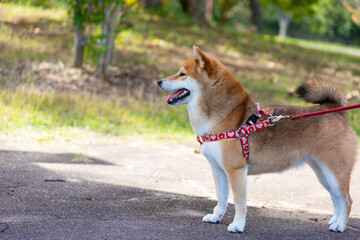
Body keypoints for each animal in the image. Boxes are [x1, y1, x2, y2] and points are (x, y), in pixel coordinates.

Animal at [158, 45, 358, 232]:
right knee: (336, 198)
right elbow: (221, 199)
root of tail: (337, 113)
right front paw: (216, 217)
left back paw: (340, 226)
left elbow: (239, 202)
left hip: (335, 172)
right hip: (323, 174)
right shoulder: (218, 170)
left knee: (347, 200)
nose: (159, 81)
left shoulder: (236, 170)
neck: (223, 116)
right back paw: (335, 221)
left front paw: (237, 225)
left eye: (182, 74)